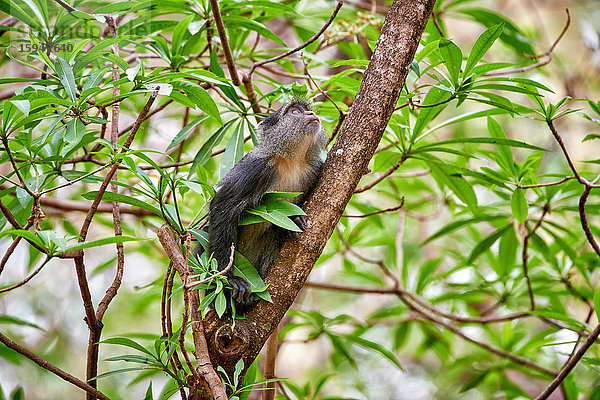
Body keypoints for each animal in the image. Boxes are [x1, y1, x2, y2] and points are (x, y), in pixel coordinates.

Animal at [207, 99, 328, 306]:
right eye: (295, 111)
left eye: (306, 109)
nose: (311, 113)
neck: (292, 161)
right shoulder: (257, 167)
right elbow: (222, 208)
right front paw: (229, 278)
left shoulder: (315, 168)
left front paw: (295, 219)